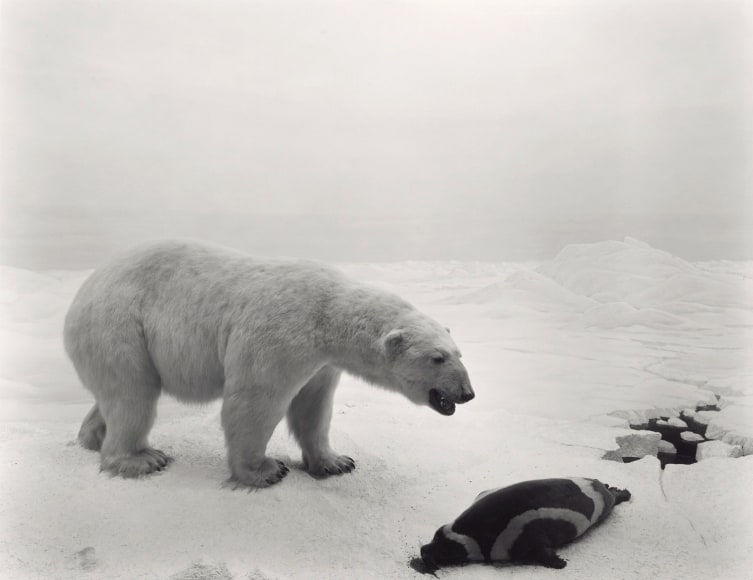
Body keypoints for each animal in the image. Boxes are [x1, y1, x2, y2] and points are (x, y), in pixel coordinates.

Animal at [63, 240, 474, 488]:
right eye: (437, 358)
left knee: (117, 394)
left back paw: (92, 437)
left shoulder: (321, 362)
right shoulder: (280, 335)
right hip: (121, 327)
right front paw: (264, 470)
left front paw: (336, 462)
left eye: (459, 353)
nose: (467, 393)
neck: (328, 314)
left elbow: (314, 407)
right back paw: (141, 459)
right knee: (133, 395)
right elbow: (255, 400)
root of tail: (82, 292)